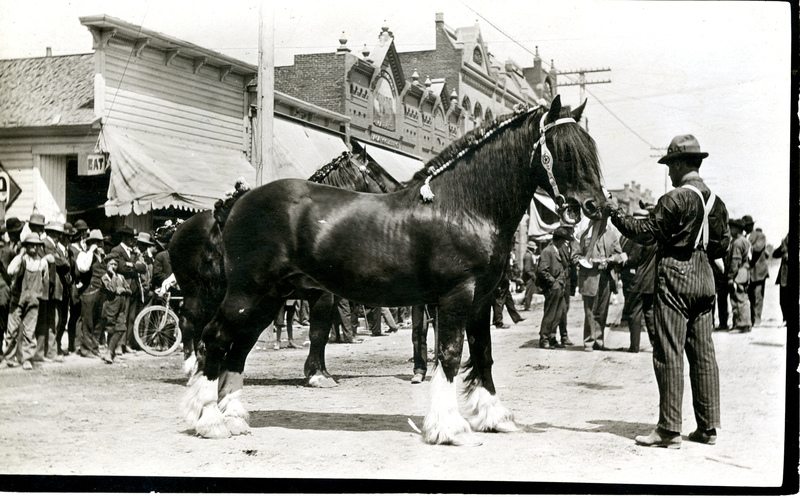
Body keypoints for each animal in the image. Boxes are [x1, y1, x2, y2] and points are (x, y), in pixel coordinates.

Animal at [170, 150, 396, 376]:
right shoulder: (322, 294)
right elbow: (319, 332)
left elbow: (321, 333)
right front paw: (316, 372)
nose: (395, 189)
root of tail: (180, 229)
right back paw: (191, 364)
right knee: (188, 322)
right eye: (375, 170)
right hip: (197, 292)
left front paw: (319, 371)